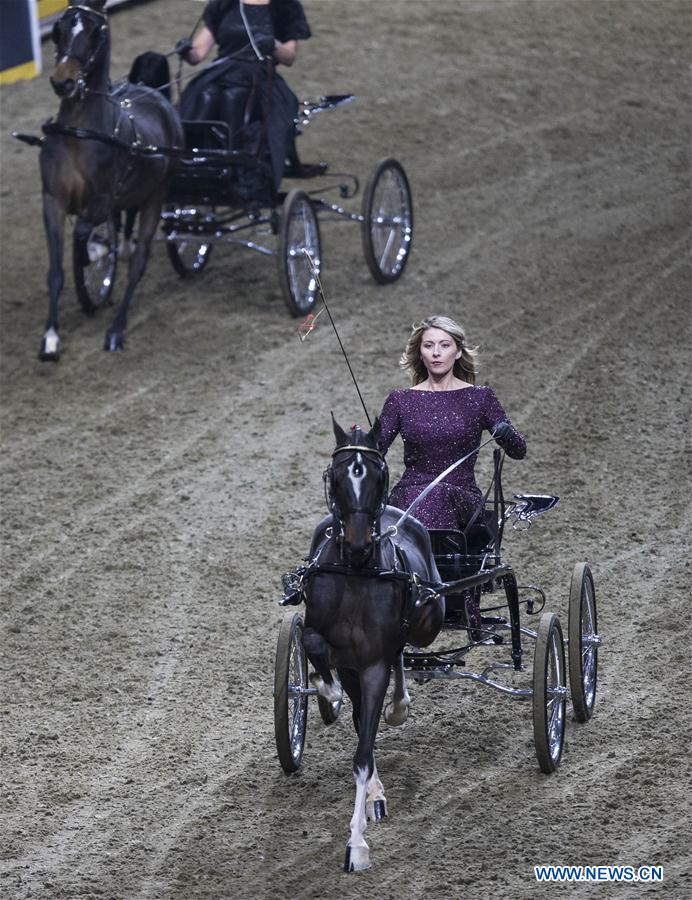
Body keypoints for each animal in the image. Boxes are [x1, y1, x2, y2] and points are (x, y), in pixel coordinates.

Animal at [38, 0, 183, 359]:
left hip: (156, 197)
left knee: (138, 264)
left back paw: (116, 329)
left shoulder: (102, 202)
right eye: (60, 28)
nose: (63, 82)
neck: (79, 134)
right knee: (125, 234)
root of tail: (154, 95)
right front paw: (51, 336)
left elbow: (82, 234)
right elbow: (56, 271)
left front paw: (93, 256)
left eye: (96, 32)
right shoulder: (52, 200)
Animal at [302, 416, 445, 871]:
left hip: (426, 622)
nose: (359, 543)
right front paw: (326, 692)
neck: (357, 574)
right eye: (337, 476)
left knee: (401, 652)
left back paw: (398, 706)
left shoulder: (373, 665)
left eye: (378, 476)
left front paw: (357, 845)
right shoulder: (341, 655)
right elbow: (312, 644)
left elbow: (363, 754)